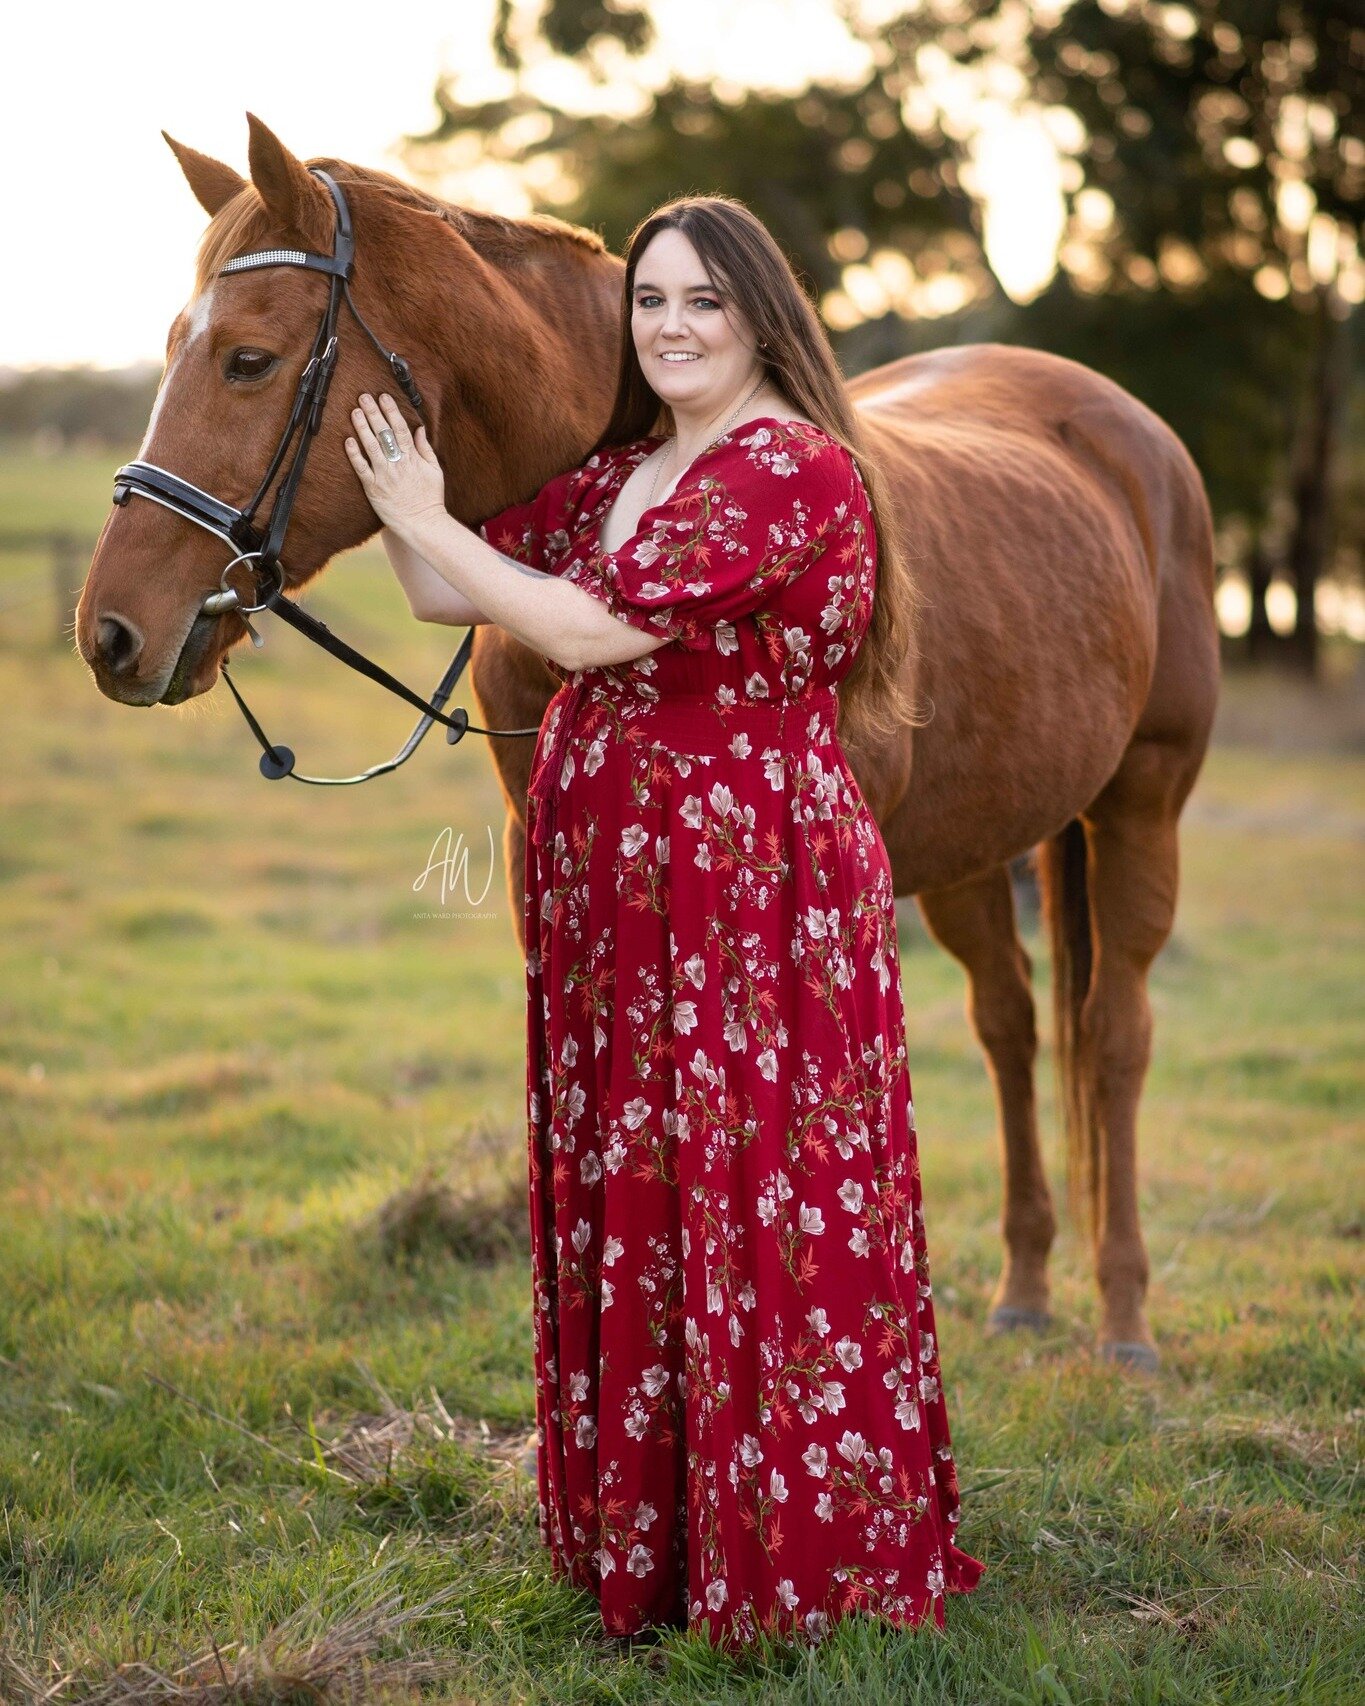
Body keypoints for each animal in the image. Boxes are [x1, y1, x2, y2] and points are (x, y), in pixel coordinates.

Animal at [80, 120, 1221, 1364]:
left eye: (247, 359)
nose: (111, 632)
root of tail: (1128, 430)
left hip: (1142, 802)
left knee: (1111, 1034)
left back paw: (1124, 1314)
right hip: (973, 848)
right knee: (1011, 1024)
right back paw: (1023, 1285)